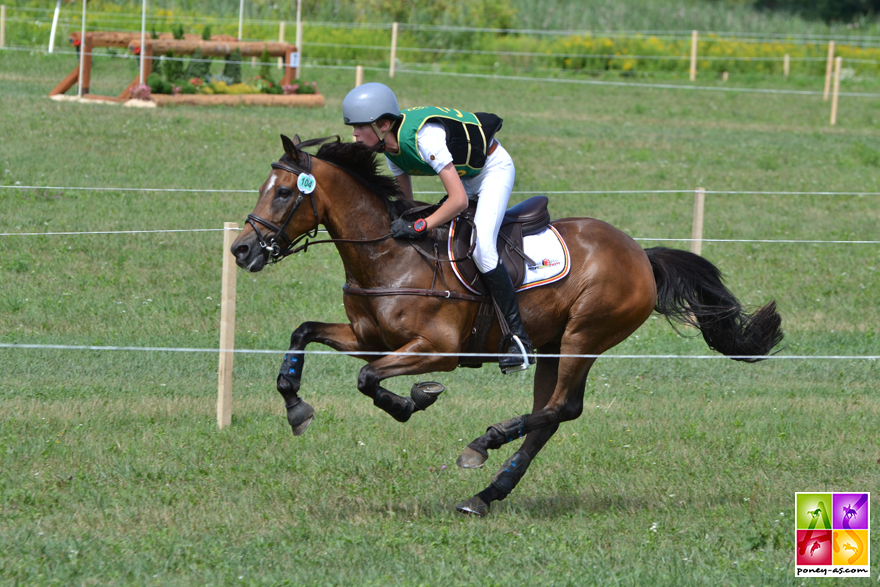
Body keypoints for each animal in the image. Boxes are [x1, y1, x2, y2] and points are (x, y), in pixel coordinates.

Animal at [229, 134, 784, 520]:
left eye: (283, 192)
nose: (241, 249)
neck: (389, 254)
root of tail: (641, 255)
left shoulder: (439, 349)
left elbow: (368, 380)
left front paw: (415, 400)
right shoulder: (370, 340)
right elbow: (305, 334)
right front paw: (297, 407)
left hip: (584, 336)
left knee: (560, 409)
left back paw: (484, 444)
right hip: (555, 345)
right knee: (551, 417)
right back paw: (484, 495)